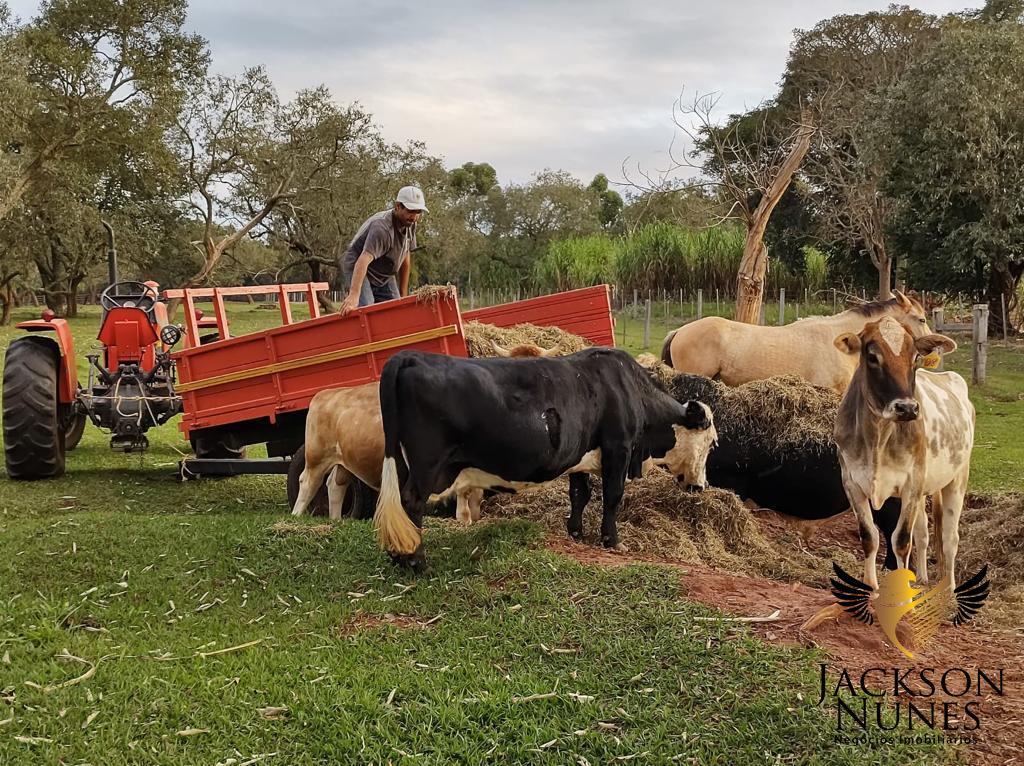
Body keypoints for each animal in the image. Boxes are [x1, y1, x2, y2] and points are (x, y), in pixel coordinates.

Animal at [372, 346, 716, 569]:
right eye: (711, 442)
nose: (701, 486)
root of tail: (410, 356)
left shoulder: (580, 456)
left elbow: (580, 494)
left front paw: (576, 532)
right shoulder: (618, 448)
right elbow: (612, 497)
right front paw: (612, 540)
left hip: (401, 461)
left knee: (399, 505)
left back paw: (398, 554)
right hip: (427, 465)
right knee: (412, 502)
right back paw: (417, 561)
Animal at [831, 313, 966, 589]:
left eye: (915, 358)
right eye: (872, 357)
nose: (907, 408)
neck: (878, 436)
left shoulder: (911, 484)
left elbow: (901, 541)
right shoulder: (851, 482)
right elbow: (869, 537)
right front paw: (871, 587)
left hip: (957, 480)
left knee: (949, 539)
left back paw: (949, 588)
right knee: (923, 533)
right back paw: (923, 578)